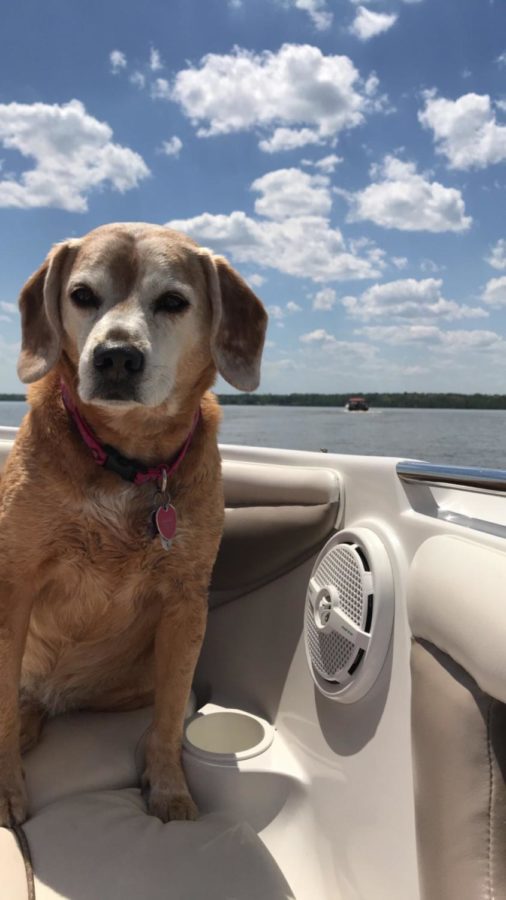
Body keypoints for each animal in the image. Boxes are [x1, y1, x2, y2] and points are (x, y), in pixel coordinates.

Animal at [0, 223, 268, 824]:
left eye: (172, 301)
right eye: (81, 295)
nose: (116, 357)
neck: (126, 462)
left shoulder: (186, 603)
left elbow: (168, 717)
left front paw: (168, 787)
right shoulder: (14, 585)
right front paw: (4, 792)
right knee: (19, 702)